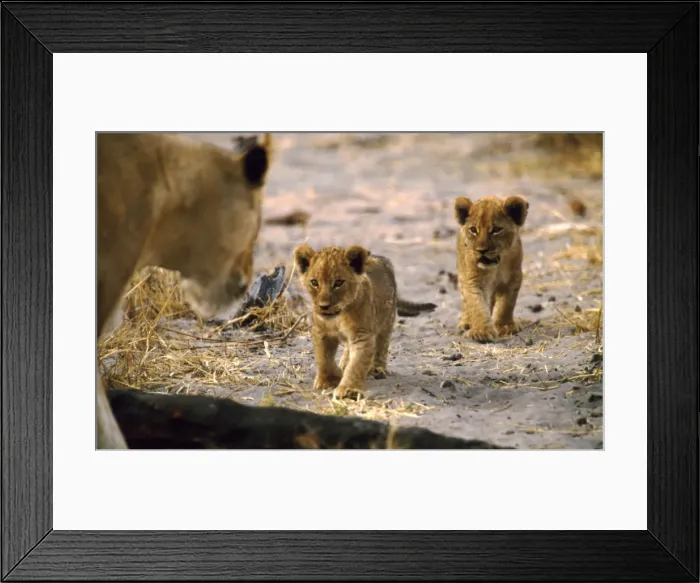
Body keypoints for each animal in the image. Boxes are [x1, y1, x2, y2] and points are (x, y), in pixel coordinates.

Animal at [293, 244, 436, 400]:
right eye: (314, 283)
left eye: (338, 283)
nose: (324, 306)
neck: (339, 317)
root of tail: (379, 257)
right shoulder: (321, 331)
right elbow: (323, 358)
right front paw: (329, 380)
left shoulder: (362, 335)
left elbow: (357, 364)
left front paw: (349, 389)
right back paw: (344, 364)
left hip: (387, 319)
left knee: (382, 345)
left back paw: (377, 368)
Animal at [453, 194, 529, 343]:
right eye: (473, 230)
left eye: (496, 230)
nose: (481, 250)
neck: (495, 268)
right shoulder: (472, 280)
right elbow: (476, 305)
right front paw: (481, 331)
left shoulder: (513, 279)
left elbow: (507, 304)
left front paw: (505, 326)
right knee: (465, 302)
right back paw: (466, 323)